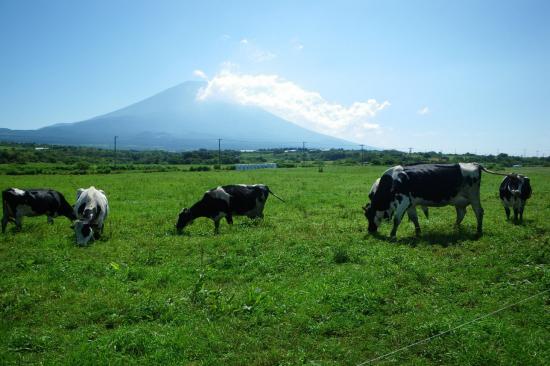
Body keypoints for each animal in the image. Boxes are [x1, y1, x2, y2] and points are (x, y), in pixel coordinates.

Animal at [364, 164, 506, 239]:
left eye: (368, 215)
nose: (370, 230)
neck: (392, 182)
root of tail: (475, 164)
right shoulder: (410, 204)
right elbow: (414, 218)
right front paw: (418, 233)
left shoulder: (403, 201)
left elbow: (397, 219)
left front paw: (392, 235)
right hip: (459, 200)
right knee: (461, 213)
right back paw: (454, 228)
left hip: (474, 196)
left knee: (479, 212)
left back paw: (479, 231)